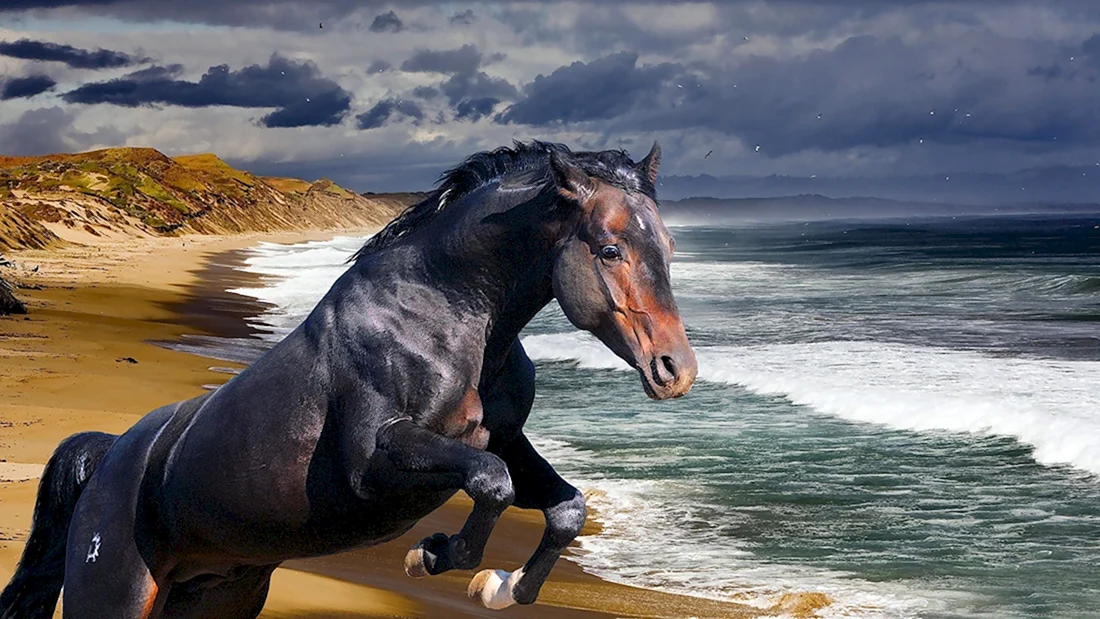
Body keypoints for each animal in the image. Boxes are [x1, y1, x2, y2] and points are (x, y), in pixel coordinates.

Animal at [0, 140, 697, 618]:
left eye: (668, 246)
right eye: (610, 249)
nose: (677, 371)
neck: (439, 315)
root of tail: (108, 457)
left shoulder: (505, 440)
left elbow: (565, 508)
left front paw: (502, 587)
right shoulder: (375, 461)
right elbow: (491, 484)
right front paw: (433, 555)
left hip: (212, 597)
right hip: (117, 595)